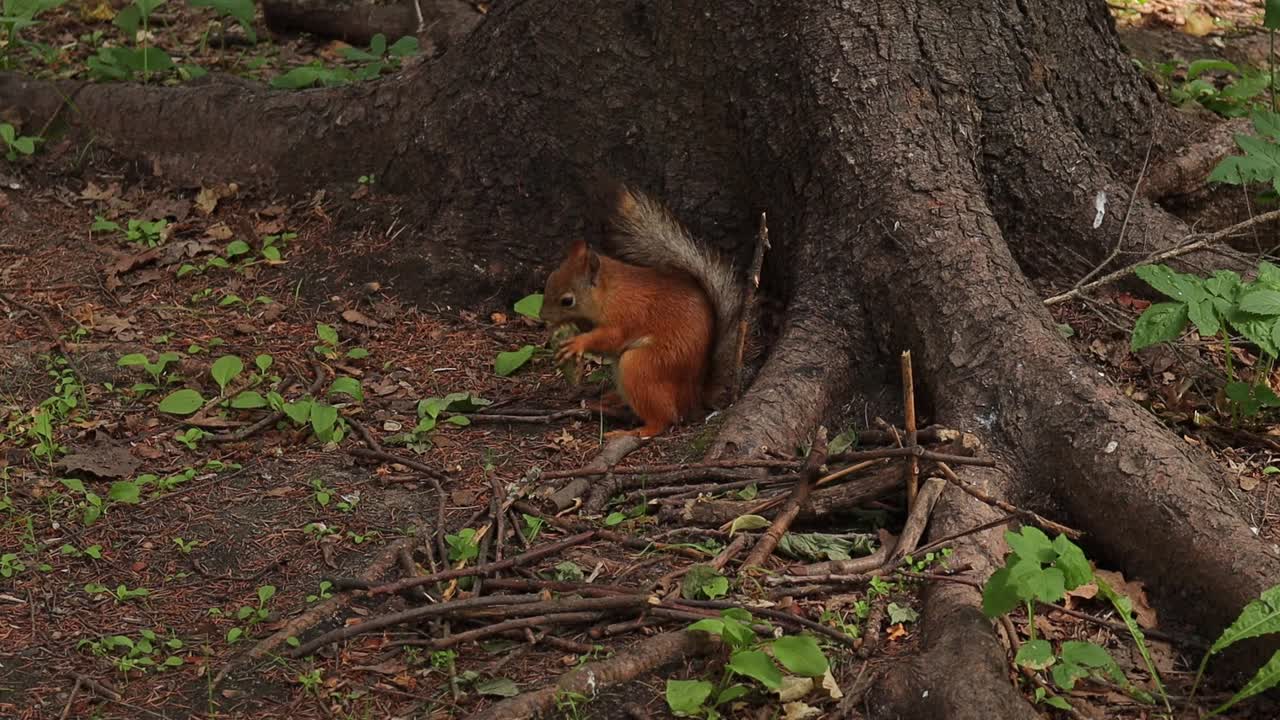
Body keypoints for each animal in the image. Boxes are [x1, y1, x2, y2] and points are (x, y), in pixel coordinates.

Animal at [541, 182, 744, 439]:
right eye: (549, 279)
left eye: (567, 300)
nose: (542, 317)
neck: (609, 293)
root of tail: (693, 397)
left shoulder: (624, 315)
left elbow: (610, 338)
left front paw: (577, 343)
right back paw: (610, 400)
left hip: (640, 367)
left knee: (663, 420)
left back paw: (632, 431)